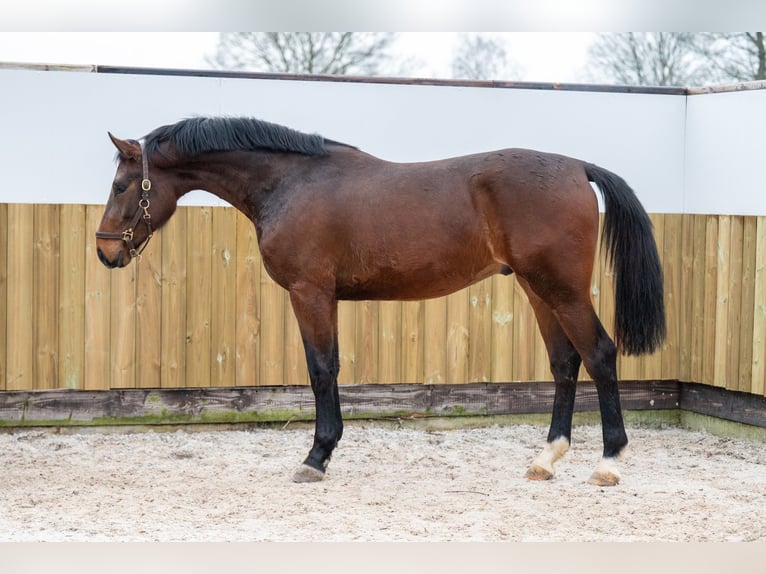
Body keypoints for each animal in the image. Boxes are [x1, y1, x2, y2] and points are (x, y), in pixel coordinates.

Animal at [97, 116, 664, 486]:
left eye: (122, 185)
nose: (105, 251)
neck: (291, 182)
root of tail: (577, 168)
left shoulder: (310, 293)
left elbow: (321, 369)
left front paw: (317, 456)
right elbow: (326, 368)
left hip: (562, 290)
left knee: (600, 355)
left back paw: (608, 462)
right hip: (538, 289)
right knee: (565, 363)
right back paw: (546, 459)